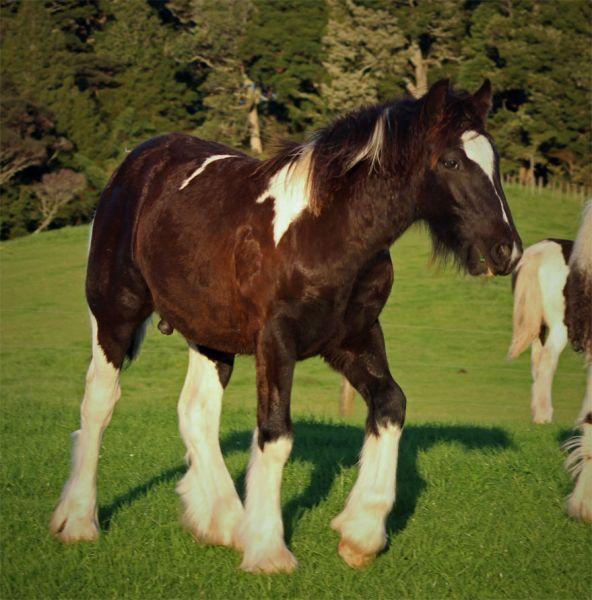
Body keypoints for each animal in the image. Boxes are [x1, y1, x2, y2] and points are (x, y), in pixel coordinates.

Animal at [51, 78, 524, 572]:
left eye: (494, 160)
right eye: (451, 161)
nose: (506, 250)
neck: (324, 231)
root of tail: (135, 163)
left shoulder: (354, 338)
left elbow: (391, 405)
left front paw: (360, 533)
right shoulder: (276, 341)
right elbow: (275, 433)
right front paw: (268, 550)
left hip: (210, 335)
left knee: (196, 411)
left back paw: (222, 522)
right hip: (114, 313)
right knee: (99, 401)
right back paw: (79, 521)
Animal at [506, 202, 588, 520]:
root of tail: (540, 252)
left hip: (540, 327)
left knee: (537, 365)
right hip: (559, 327)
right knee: (547, 363)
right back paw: (544, 415)